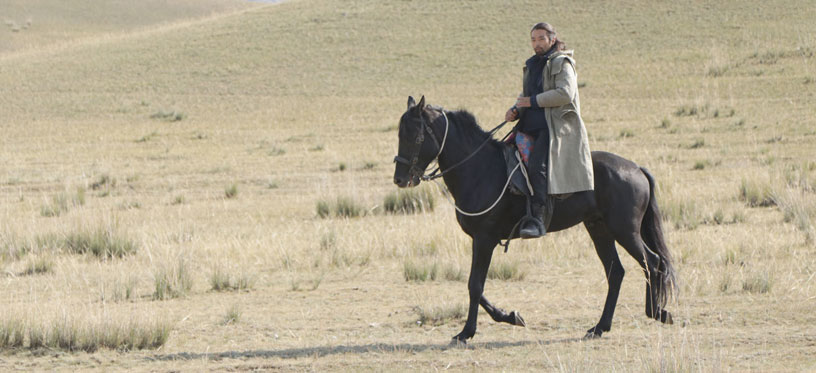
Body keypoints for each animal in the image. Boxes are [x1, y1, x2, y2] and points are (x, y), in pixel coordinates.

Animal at [394, 96, 676, 342]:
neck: (480, 169)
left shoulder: (484, 239)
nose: (400, 178)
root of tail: (635, 168)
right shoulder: (482, 241)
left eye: (415, 136)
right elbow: (477, 286)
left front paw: (466, 332)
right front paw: (510, 316)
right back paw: (600, 326)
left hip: (625, 230)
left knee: (652, 261)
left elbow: (475, 285)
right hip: (600, 230)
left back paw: (656, 312)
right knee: (616, 272)